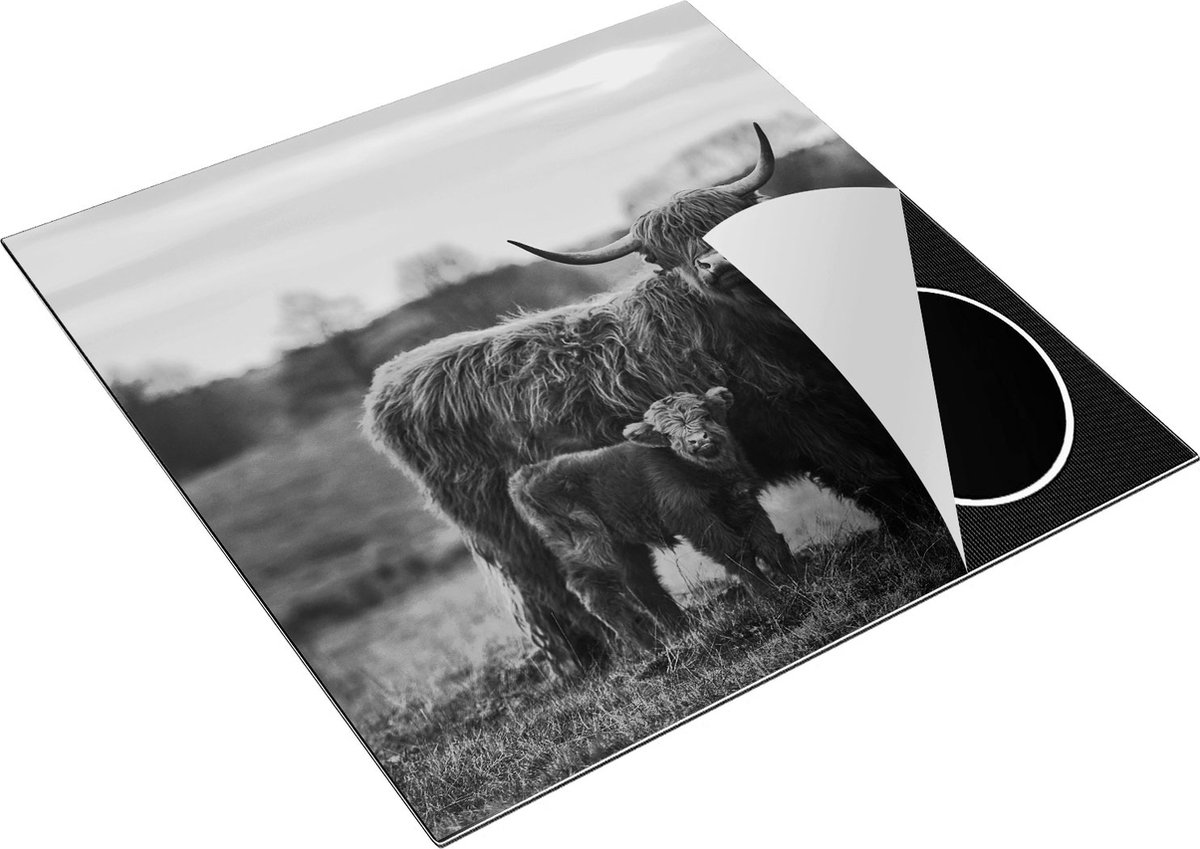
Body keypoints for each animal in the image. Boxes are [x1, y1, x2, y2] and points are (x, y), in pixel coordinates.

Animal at [509, 387, 799, 649]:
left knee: (642, 584)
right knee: (597, 593)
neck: (710, 475)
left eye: (705, 413)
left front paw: (796, 581)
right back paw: (648, 647)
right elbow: (736, 552)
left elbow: (769, 541)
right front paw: (767, 596)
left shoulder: (744, 500)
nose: (698, 440)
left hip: (623, 545)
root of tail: (525, 476)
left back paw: (681, 632)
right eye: (668, 434)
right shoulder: (696, 519)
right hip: (587, 547)